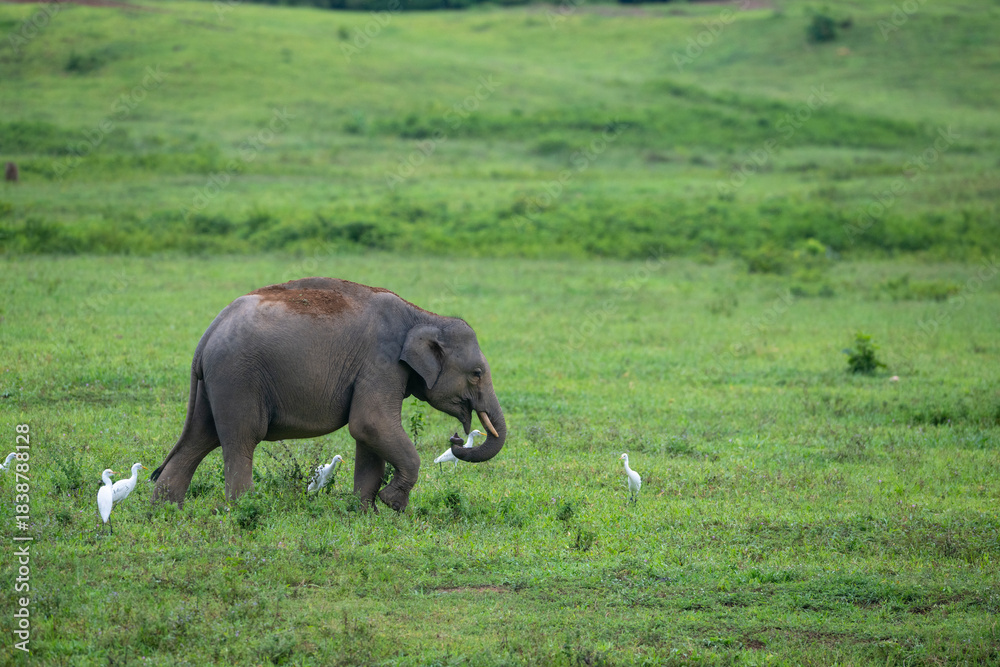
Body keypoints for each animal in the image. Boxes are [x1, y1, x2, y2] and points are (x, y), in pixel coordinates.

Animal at [150, 276, 507, 512]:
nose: (456, 440)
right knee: (241, 439)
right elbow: (370, 423)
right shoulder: (381, 363)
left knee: (200, 437)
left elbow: (368, 435)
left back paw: (165, 514)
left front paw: (366, 514)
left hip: (214, 383)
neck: (424, 315)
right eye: (477, 374)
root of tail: (207, 334)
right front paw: (392, 503)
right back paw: (245, 510)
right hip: (237, 378)